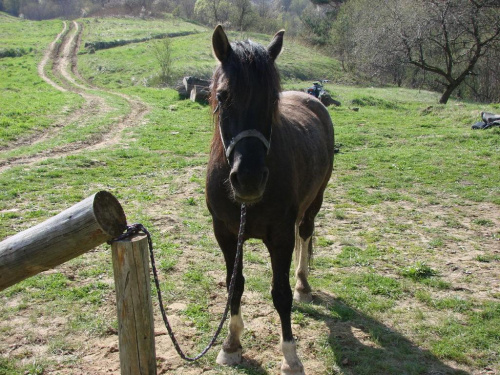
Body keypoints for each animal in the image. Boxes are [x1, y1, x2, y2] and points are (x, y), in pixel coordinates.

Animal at [205, 25, 334, 374]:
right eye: (222, 96)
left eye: (271, 99)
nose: (248, 178)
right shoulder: (225, 234)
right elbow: (234, 285)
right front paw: (231, 344)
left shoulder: (280, 236)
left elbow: (281, 293)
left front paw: (290, 355)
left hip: (314, 202)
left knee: (306, 233)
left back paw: (304, 285)